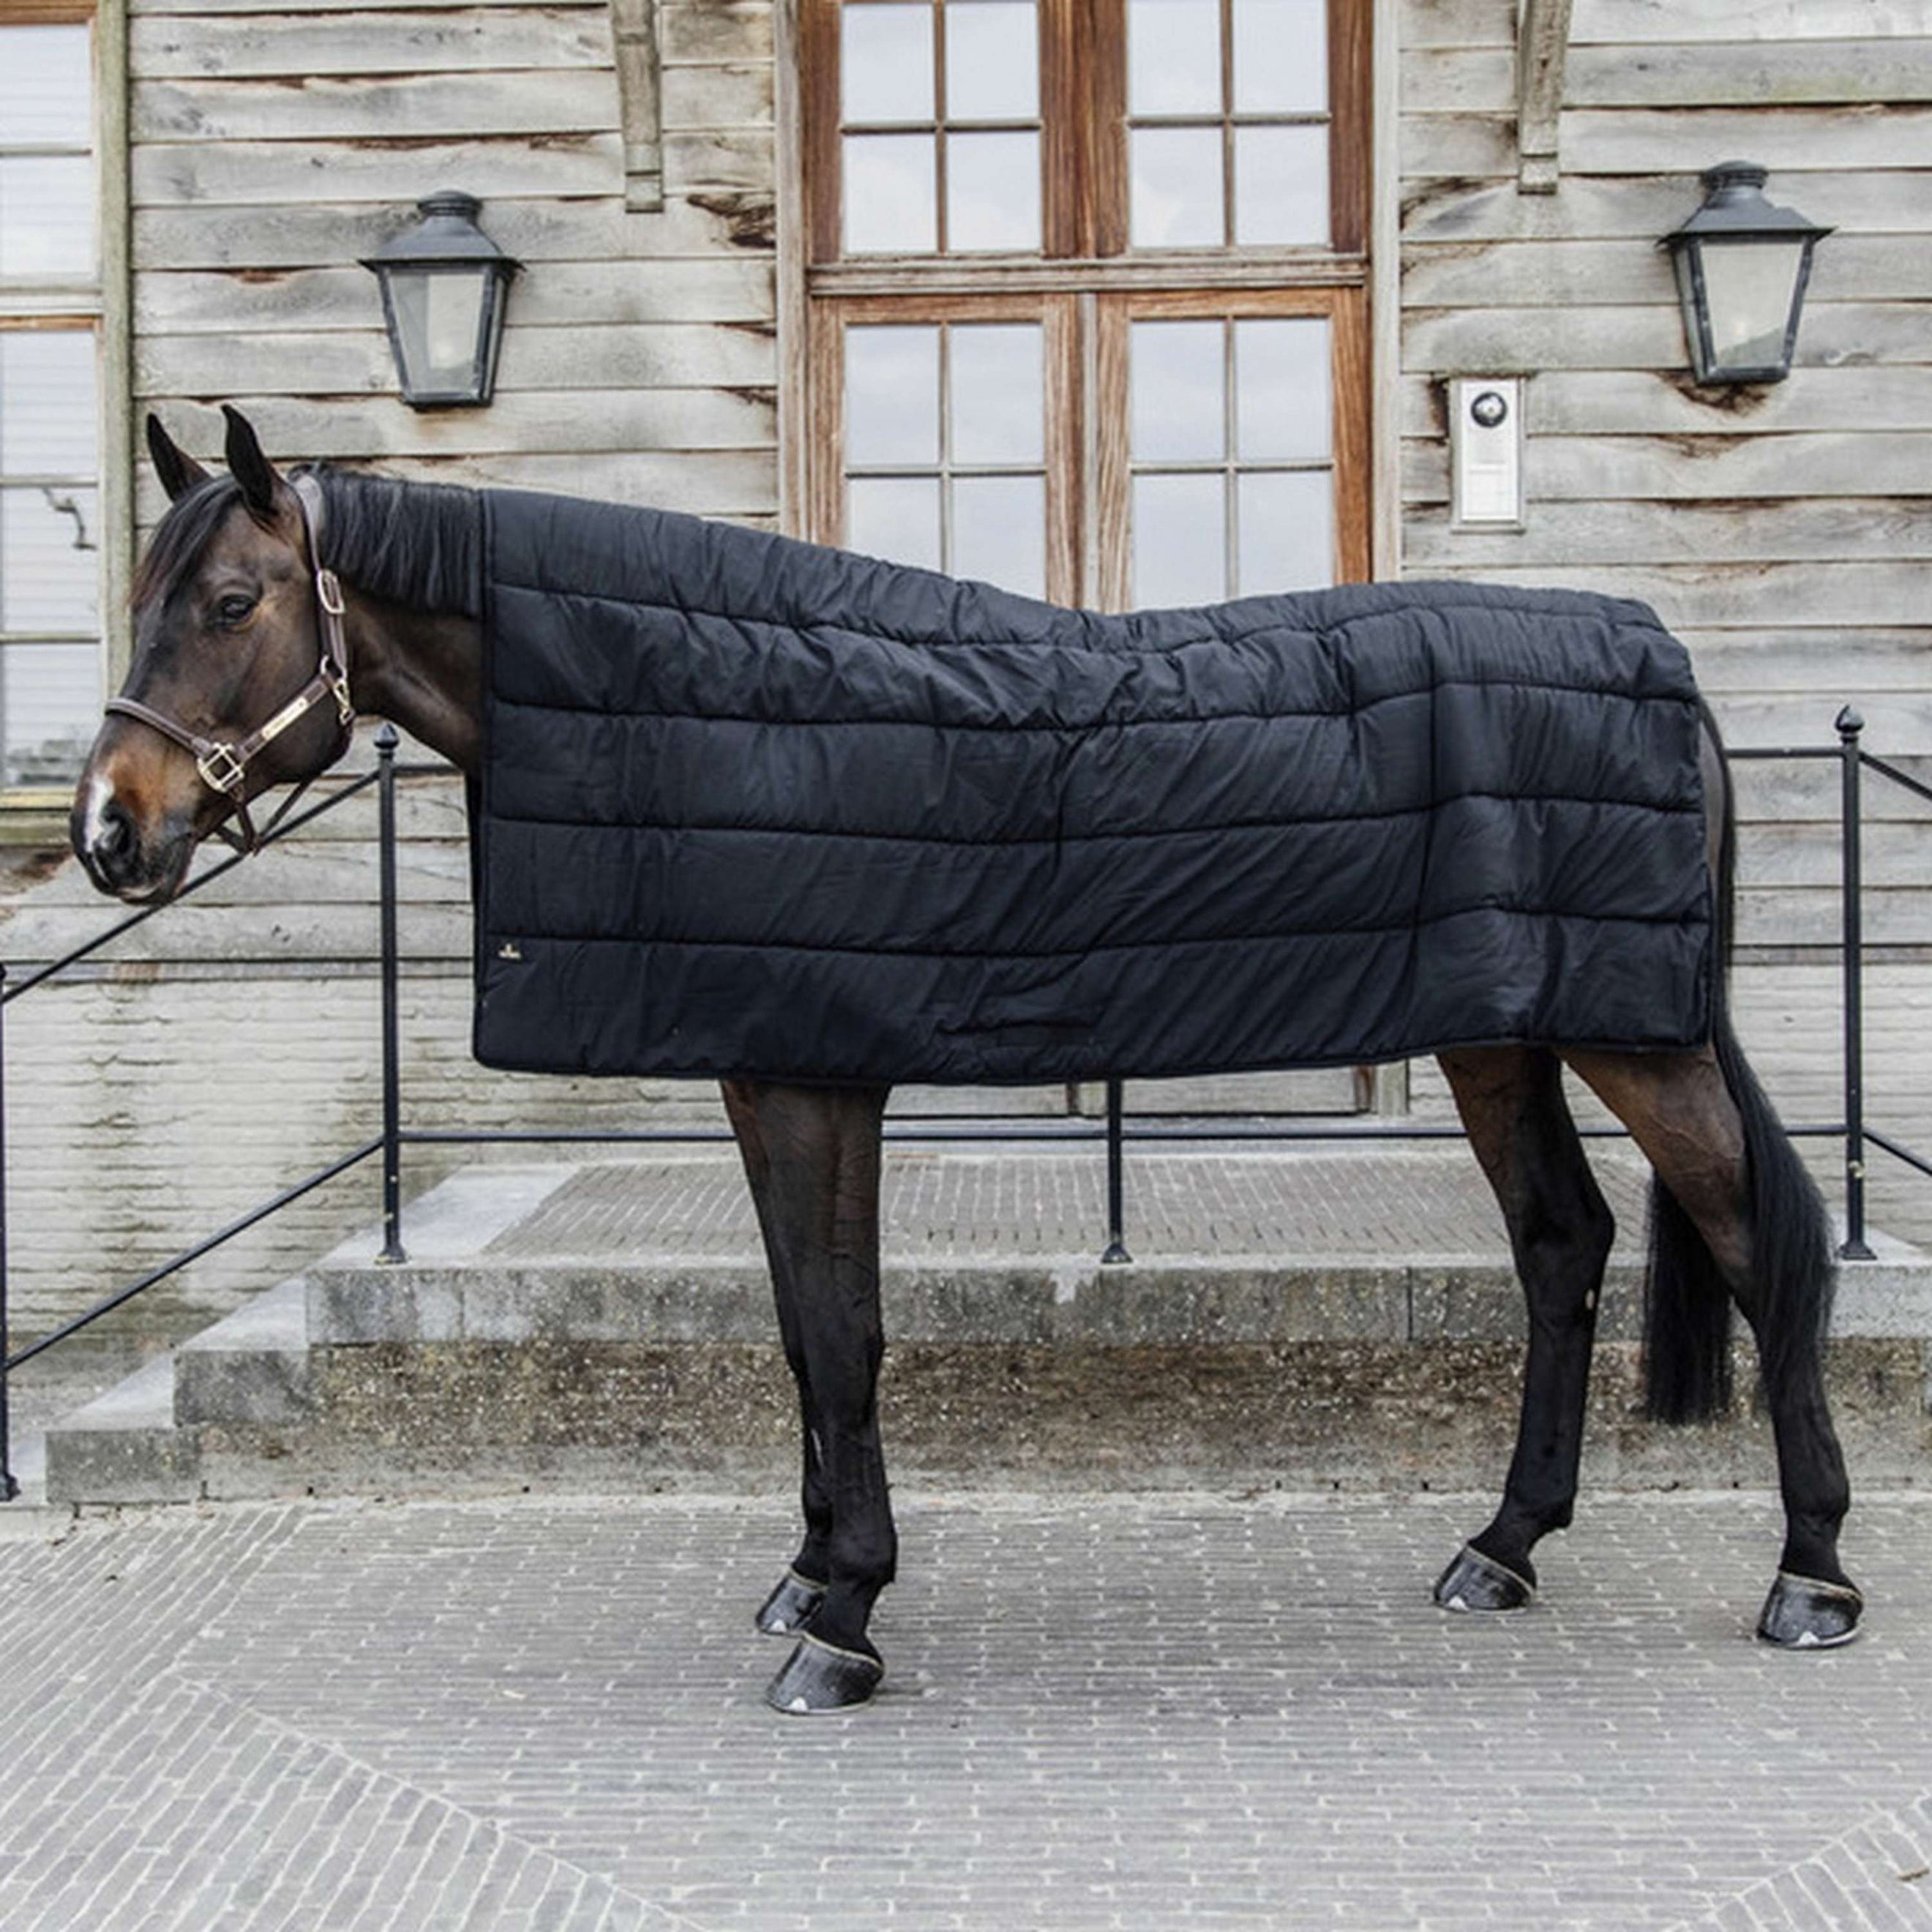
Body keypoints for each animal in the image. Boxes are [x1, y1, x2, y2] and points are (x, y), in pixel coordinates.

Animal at [71, 405, 1862, 1713]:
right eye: (144, 601)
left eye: (229, 604)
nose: (107, 832)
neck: (713, 700)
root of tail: (1663, 660)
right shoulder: (768, 1065)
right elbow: (805, 1335)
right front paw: (810, 1575)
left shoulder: (816, 1078)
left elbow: (845, 1334)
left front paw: (844, 1621)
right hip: (1505, 1032)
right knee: (1565, 1243)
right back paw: (1503, 1548)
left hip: (1633, 1036)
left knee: (1755, 1241)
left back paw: (1813, 1578)